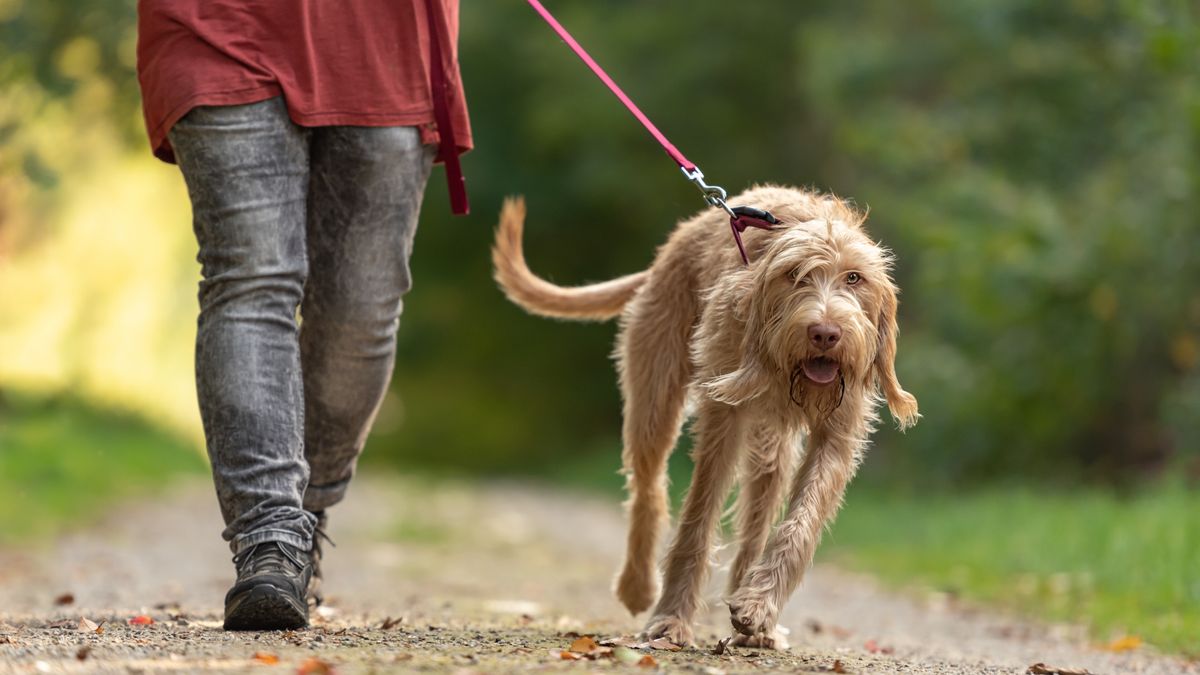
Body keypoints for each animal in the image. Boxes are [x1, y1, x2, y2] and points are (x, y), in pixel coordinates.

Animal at [487, 184, 916, 648]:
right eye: (794, 275)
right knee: (648, 490)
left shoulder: (838, 433)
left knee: (756, 518)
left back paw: (753, 613)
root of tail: (675, 243)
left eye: (854, 278)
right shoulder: (723, 418)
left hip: (771, 448)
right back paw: (638, 585)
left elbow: (800, 524)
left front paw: (758, 606)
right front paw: (671, 618)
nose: (825, 333)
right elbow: (697, 517)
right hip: (654, 399)